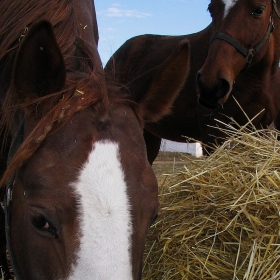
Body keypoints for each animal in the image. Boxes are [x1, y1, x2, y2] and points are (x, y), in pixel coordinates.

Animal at [104, 0, 280, 163]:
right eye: (211, 9)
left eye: (259, 10)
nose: (210, 86)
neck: (260, 80)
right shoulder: (214, 134)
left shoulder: (259, 131)